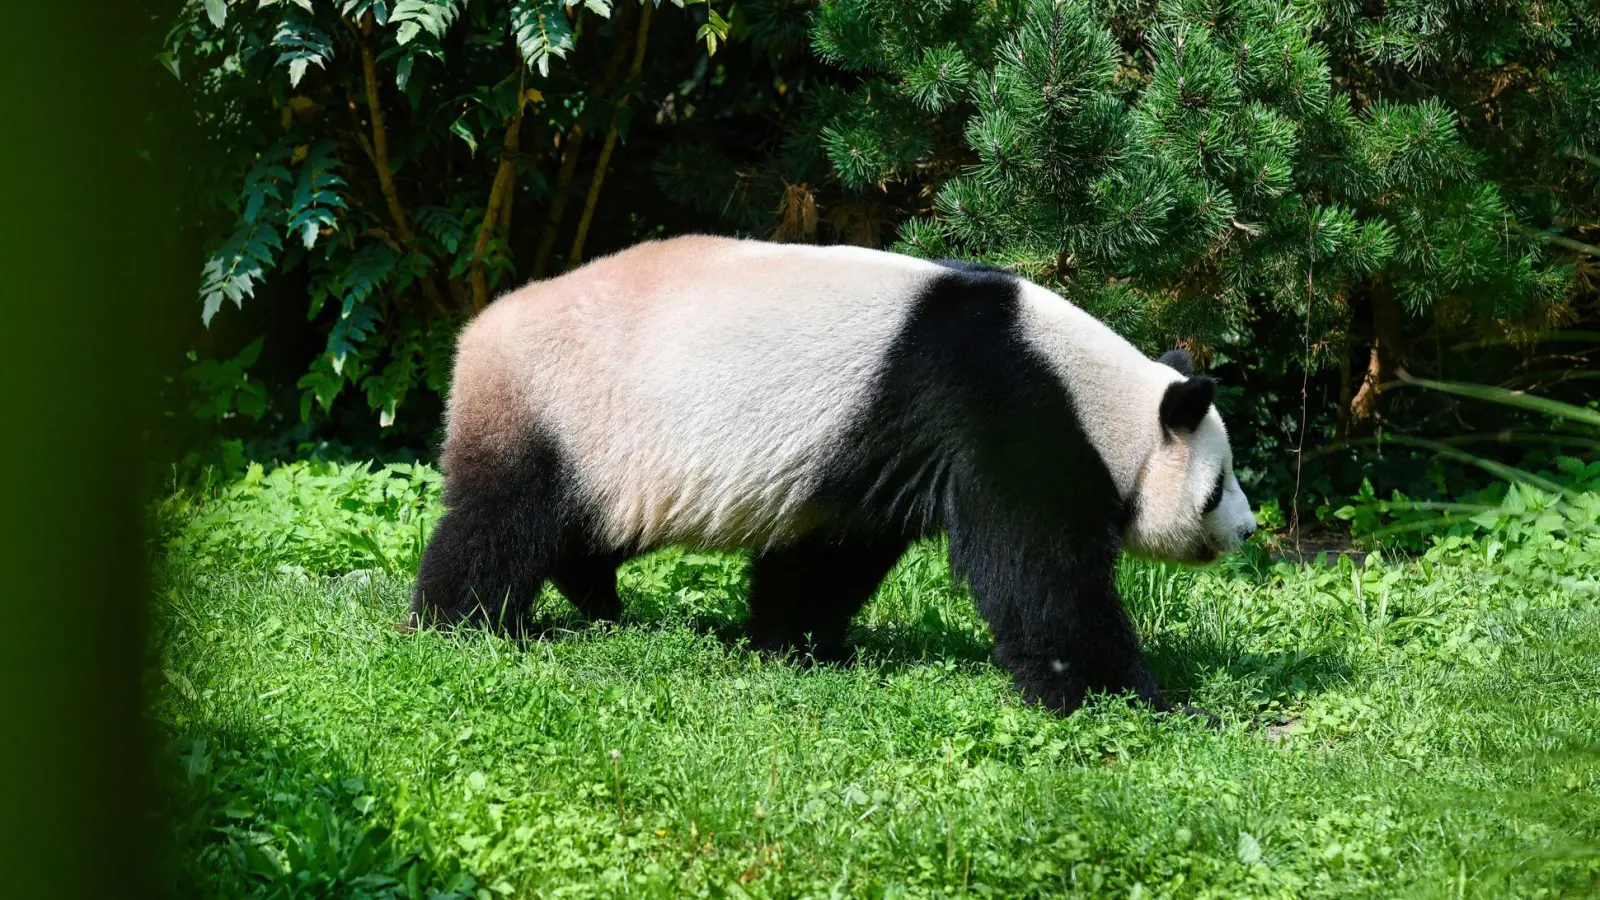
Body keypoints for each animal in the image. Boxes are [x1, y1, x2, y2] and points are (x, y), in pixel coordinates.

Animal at [416, 235, 1260, 711]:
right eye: (1217, 486)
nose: (1249, 530)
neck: (1097, 394)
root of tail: (476, 332)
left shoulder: (874, 449)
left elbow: (834, 550)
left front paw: (794, 644)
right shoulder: (1002, 408)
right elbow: (1039, 572)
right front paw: (1142, 701)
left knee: (587, 529)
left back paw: (597, 601)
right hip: (561, 406)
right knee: (502, 520)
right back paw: (461, 624)